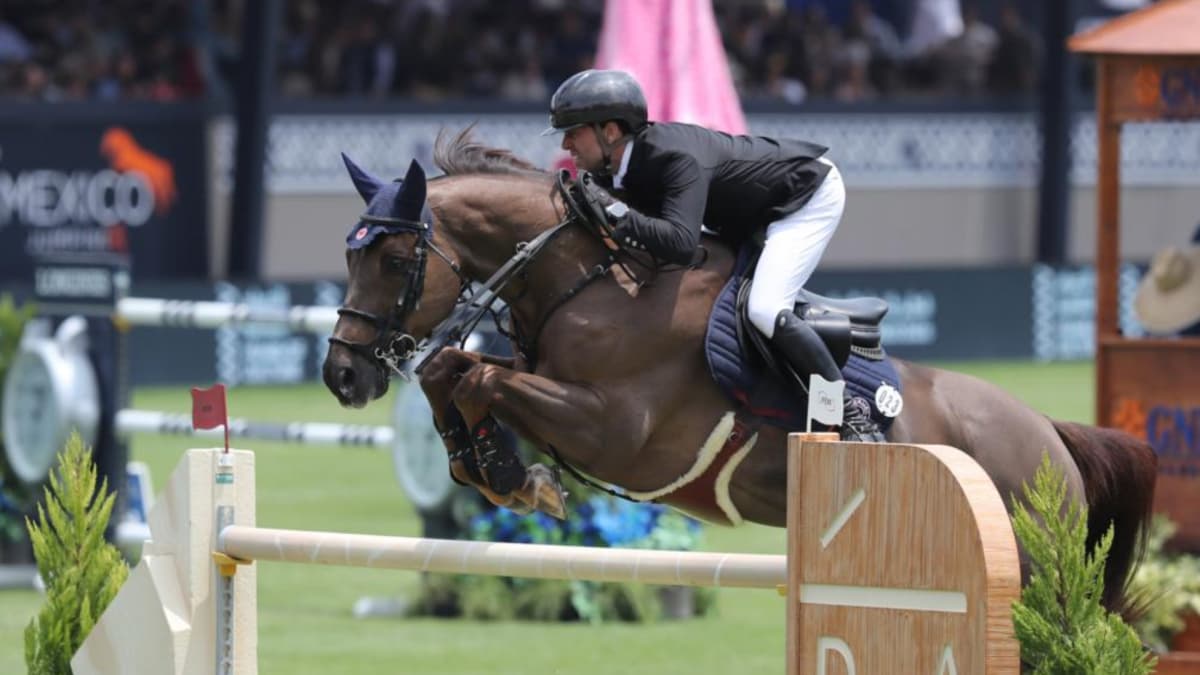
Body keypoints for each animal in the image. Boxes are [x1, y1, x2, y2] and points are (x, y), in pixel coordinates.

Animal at [322, 128, 1157, 614]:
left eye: (392, 260)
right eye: (350, 255)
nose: (341, 377)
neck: (588, 281)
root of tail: (1049, 436)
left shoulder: (616, 430)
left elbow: (475, 376)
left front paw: (513, 473)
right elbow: (450, 370)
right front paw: (491, 466)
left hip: (1030, 562)